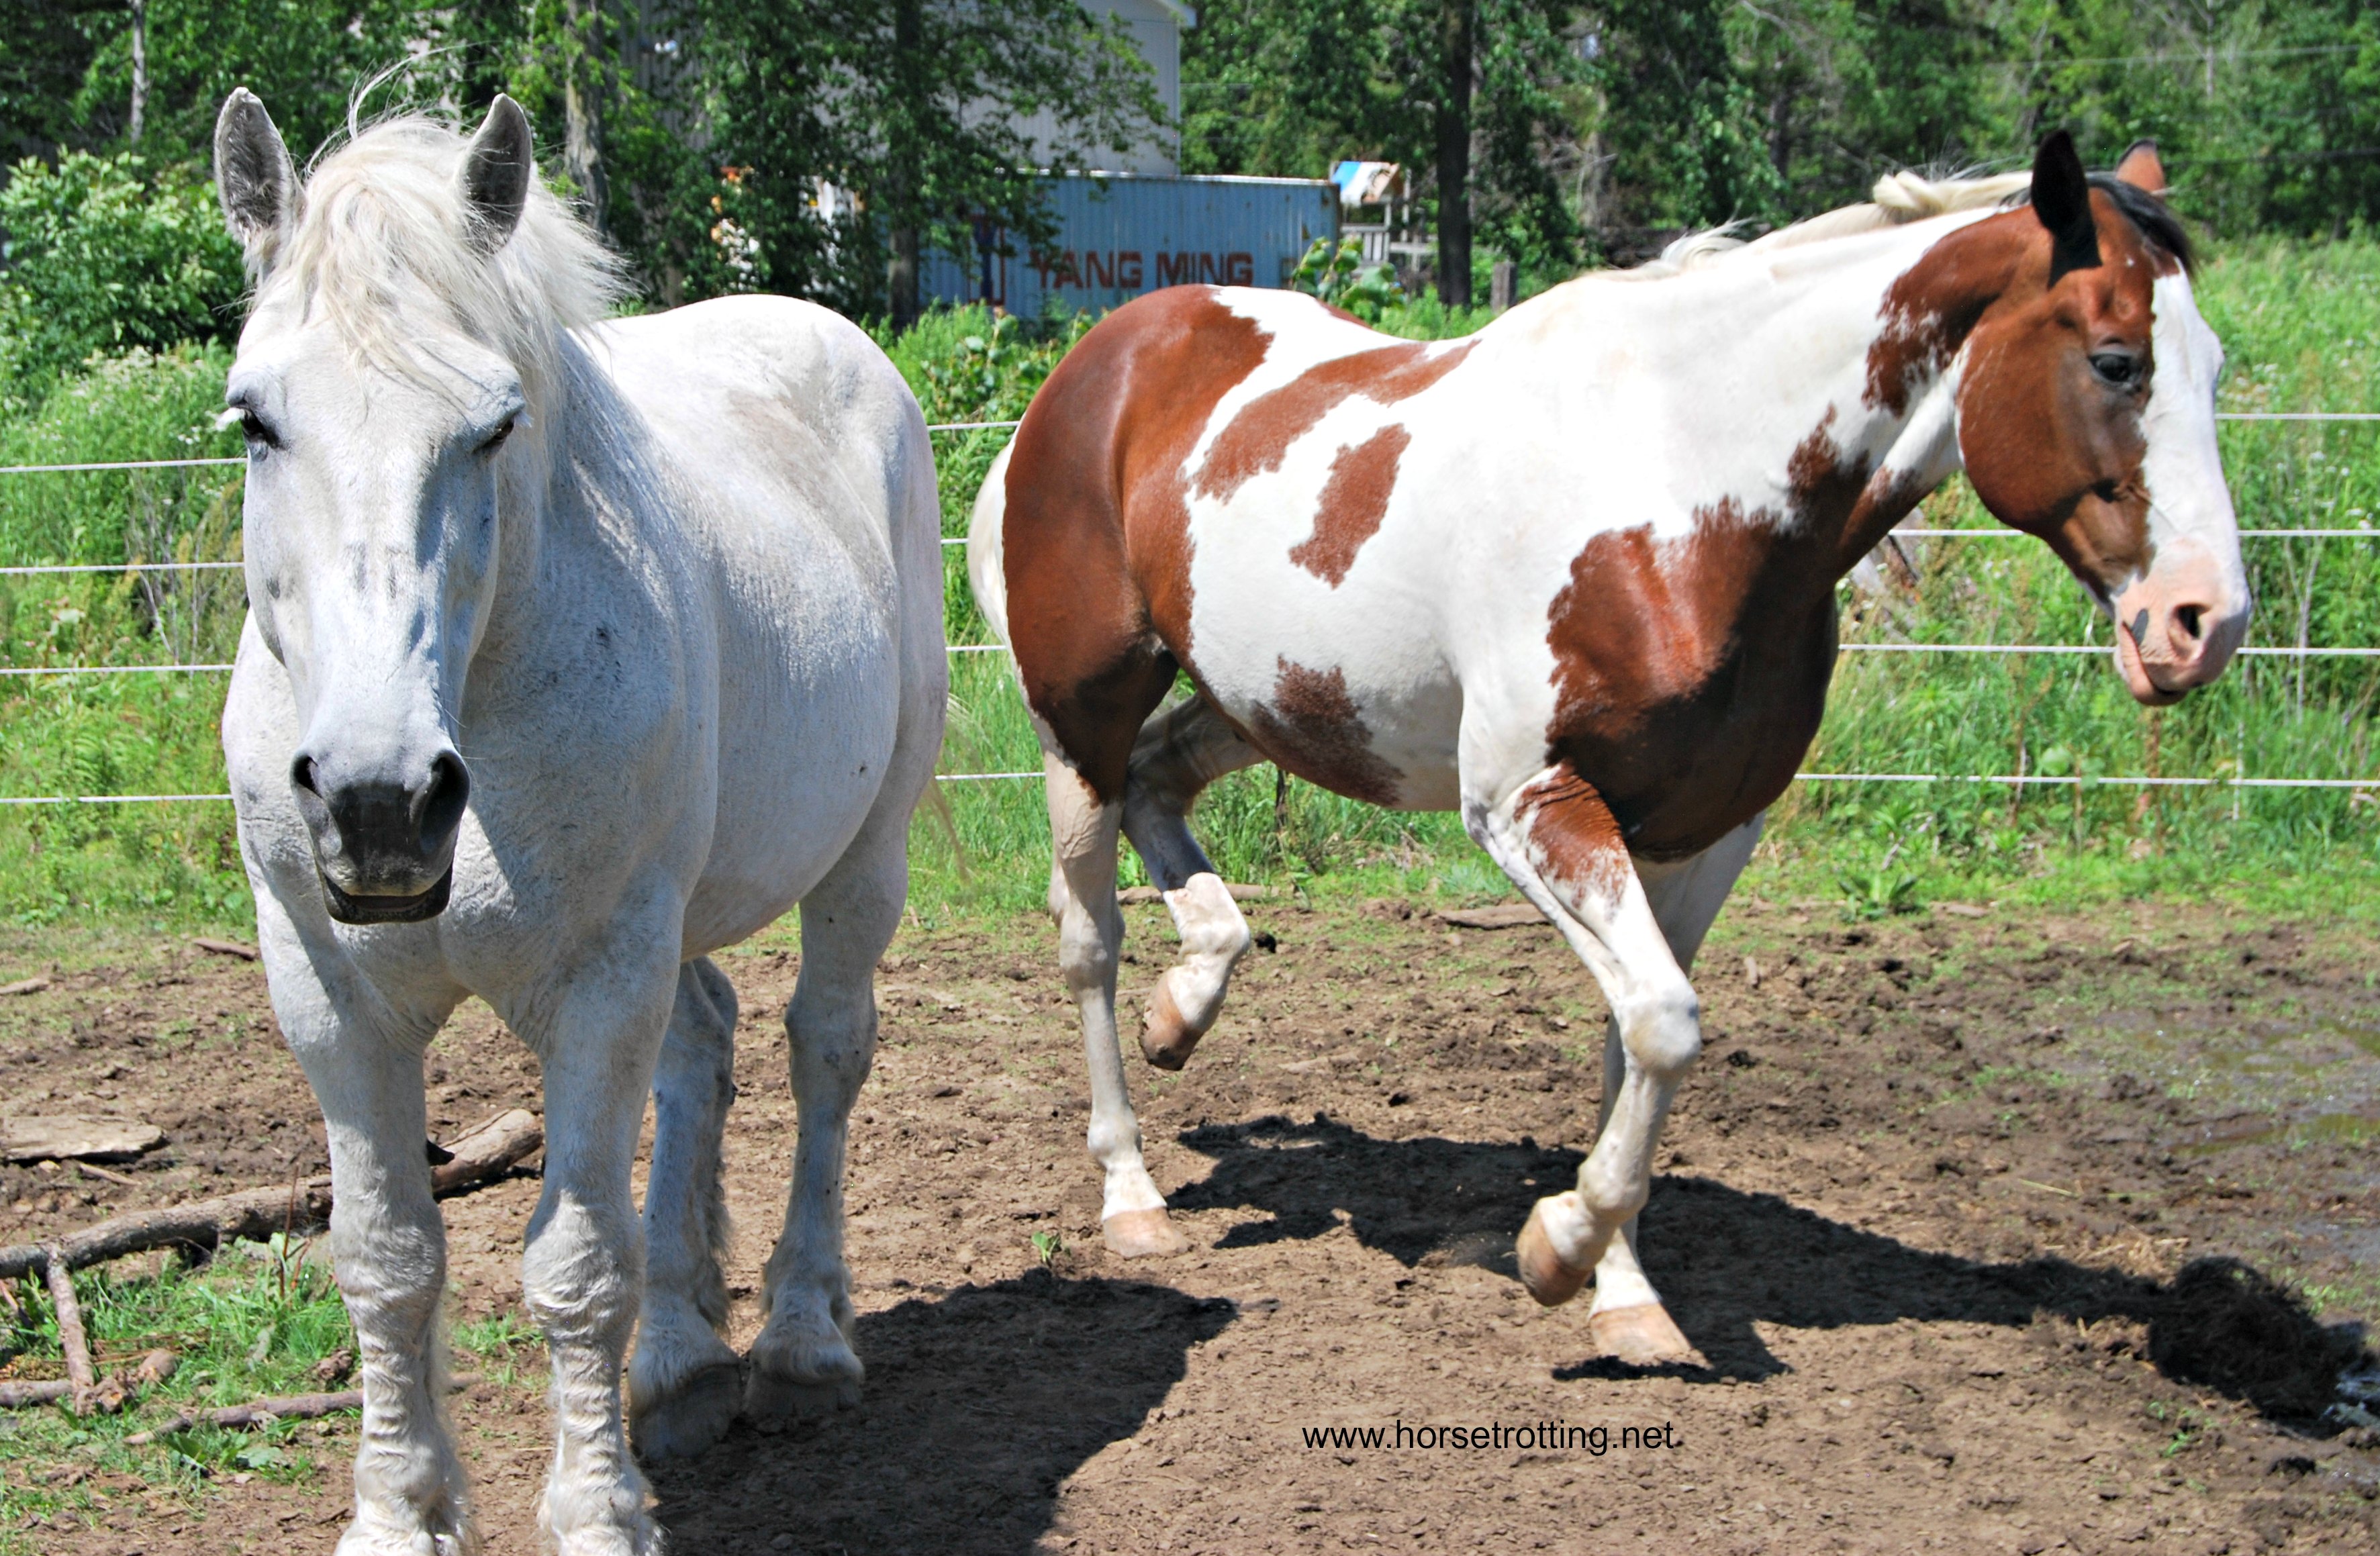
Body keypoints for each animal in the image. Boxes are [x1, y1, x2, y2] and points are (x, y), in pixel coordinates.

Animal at [213, 91, 945, 1553]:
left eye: (494, 425)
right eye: (256, 420)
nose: (380, 798)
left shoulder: (605, 972)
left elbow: (573, 1260)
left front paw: (598, 1512)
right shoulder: (325, 991)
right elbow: (385, 1257)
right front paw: (399, 1513)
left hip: (861, 857)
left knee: (824, 1051)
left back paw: (797, 1342)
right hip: (682, 915)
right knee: (702, 1051)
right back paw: (679, 1359)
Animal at [967, 133, 2247, 1367]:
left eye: (2216, 364)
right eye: (2117, 360)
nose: (2205, 621)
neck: (1683, 491)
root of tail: (1091, 368)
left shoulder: (1704, 826)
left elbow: (1634, 1039)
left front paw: (1624, 1299)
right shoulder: (1529, 803)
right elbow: (1668, 1020)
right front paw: (1556, 1244)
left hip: (1267, 699)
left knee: (1161, 786)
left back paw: (1186, 1004)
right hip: (1079, 716)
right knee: (1088, 936)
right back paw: (1131, 1190)